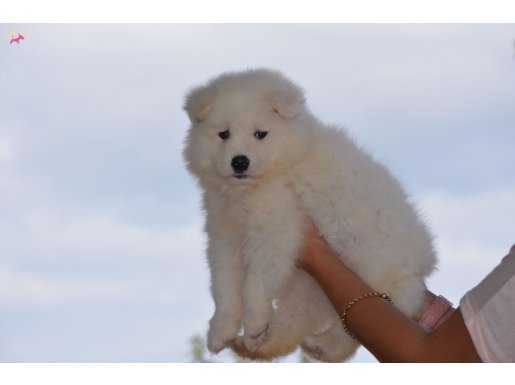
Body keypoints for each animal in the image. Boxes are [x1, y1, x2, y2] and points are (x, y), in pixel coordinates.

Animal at [183, 68, 438, 360]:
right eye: (223, 134)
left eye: (260, 134)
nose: (239, 161)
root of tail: (418, 267)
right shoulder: (224, 237)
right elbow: (224, 287)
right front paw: (220, 332)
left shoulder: (276, 233)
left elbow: (255, 284)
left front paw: (254, 321)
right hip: (309, 286)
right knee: (300, 319)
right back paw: (265, 344)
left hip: (370, 271)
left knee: (352, 327)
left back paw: (316, 345)